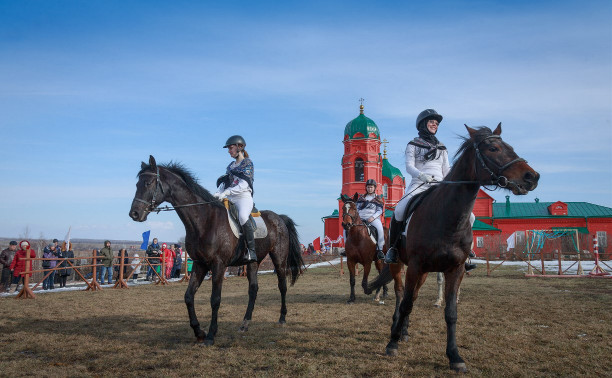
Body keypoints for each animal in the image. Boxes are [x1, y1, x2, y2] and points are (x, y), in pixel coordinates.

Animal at [128, 155, 304, 344]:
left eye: (148, 183)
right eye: (137, 184)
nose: (134, 214)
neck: (204, 220)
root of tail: (279, 218)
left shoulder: (218, 265)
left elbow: (215, 299)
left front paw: (211, 335)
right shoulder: (199, 264)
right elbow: (188, 296)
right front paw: (199, 332)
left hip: (279, 259)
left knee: (282, 286)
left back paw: (282, 318)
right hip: (253, 262)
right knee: (253, 289)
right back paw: (245, 323)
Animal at [366, 125, 536, 372]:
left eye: (509, 146)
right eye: (493, 148)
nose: (531, 177)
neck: (447, 218)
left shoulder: (455, 269)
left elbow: (451, 312)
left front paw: (454, 356)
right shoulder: (415, 266)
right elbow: (406, 304)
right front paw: (392, 344)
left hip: (423, 273)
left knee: (412, 296)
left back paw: (404, 331)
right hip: (399, 265)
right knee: (401, 296)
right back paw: (396, 331)